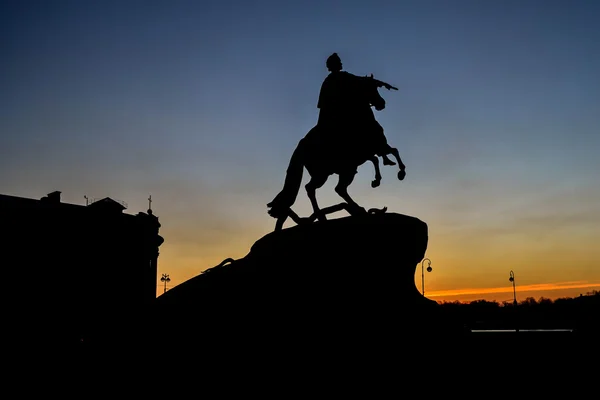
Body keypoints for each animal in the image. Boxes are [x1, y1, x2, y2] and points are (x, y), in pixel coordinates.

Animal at [268, 74, 406, 231]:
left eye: (377, 87)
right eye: (369, 88)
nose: (381, 103)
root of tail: (301, 147)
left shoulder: (370, 152)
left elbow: (383, 156)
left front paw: (380, 175)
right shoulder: (377, 147)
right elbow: (393, 152)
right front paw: (399, 172)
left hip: (343, 171)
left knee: (338, 189)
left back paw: (356, 209)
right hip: (324, 174)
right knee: (312, 188)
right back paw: (322, 216)